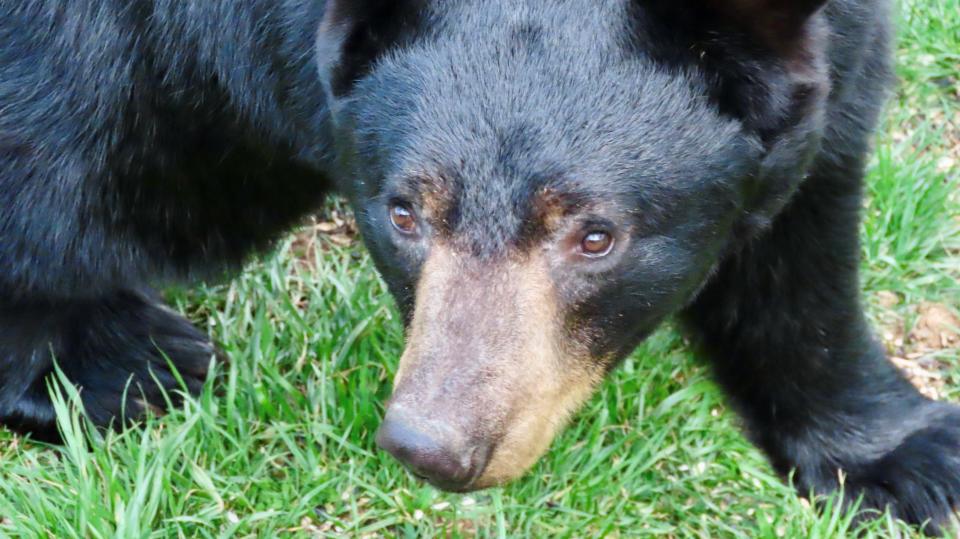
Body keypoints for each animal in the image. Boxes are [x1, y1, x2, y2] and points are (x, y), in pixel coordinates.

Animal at [0, 0, 956, 532]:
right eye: (405, 213)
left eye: (597, 236)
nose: (432, 445)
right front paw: (113, 362)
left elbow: (805, 243)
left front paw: (904, 456)